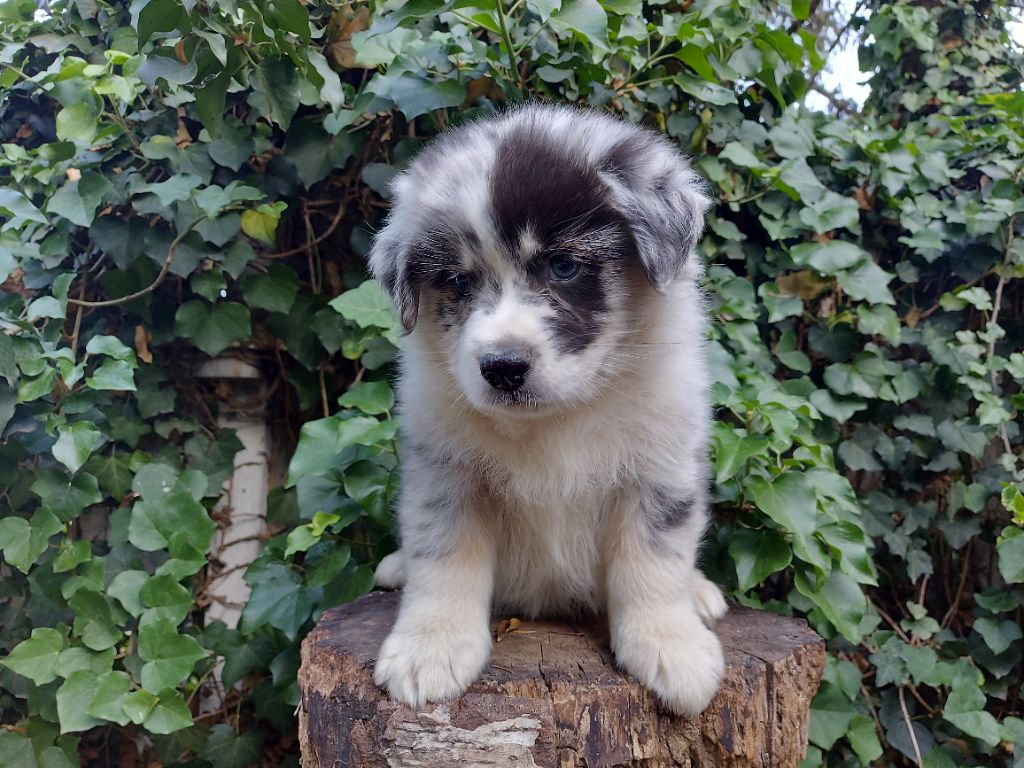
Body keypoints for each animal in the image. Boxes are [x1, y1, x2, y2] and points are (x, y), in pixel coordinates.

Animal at [367, 103, 727, 717]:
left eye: (563, 267)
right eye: (457, 281)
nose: (503, 367)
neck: (556, 421)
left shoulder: (660, 469)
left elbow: (654, 560)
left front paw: (672, 648)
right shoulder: (445, 473)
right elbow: (443, 558)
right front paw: (429, 649)